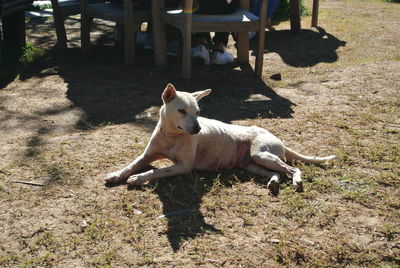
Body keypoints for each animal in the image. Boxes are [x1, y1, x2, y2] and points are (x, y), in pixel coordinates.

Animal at [105, 84, 334, 193]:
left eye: (198, 112)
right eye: (181, 111)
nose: (198, 129)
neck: (172, 136)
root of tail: (280, 141)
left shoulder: (183, 166)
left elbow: (157, 171)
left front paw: (137, 179)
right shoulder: (147, 155)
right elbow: (131, 165)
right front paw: (117, 174)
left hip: (261, 154)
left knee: (292, 168)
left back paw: (296, 180)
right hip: (252, 164)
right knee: (277, 172)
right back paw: (273, 182)